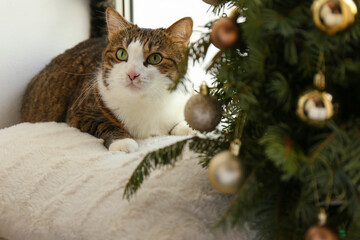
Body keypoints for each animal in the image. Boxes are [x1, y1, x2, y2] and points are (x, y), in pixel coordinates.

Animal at [21, 8, 195, 154]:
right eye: (121, 54)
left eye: (155, 58)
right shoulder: (79, 113)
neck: (143, 101)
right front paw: (123, 142)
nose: (132, 74)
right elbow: (105, 124)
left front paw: (188, 126)